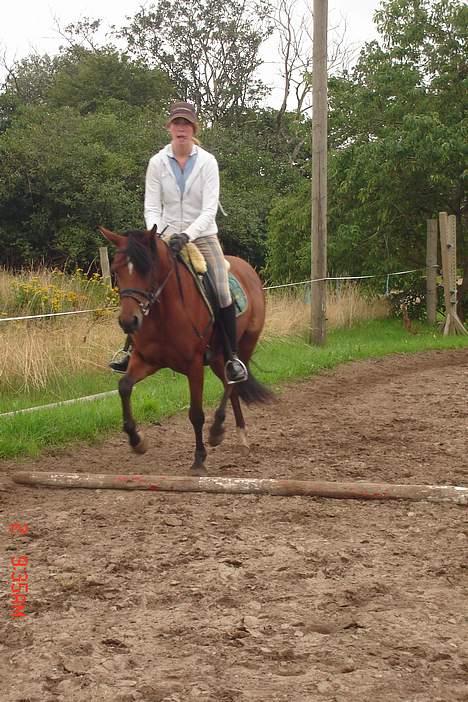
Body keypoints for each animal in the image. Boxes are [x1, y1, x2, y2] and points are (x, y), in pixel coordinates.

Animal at [98, 228, 274, 476]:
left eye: (147, 269)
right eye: (116, 270)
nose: (128, 321)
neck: (163, 313)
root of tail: (248, 269)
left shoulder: (194, 366)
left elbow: (196, 414)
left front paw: (199, 461)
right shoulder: (145, 360)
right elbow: (124, 387)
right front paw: (136, 440)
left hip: (244, 345)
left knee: (234, 382)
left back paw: (218, 430)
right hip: (219, 358)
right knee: (231, 385)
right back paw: (239, 436)